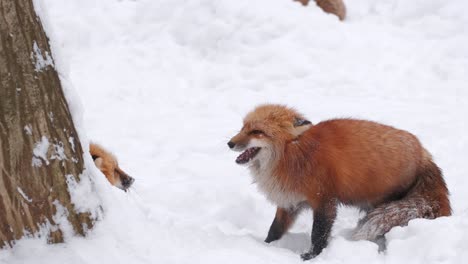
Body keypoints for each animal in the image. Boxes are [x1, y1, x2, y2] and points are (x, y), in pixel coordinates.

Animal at [229, 103, 452, 260]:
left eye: (257, 132)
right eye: (243, 127)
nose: (229, 143)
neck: (293, 153)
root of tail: (423, 153)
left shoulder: (324, 200)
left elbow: (318, 235)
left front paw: (311, 257)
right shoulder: (289, 202)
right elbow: (274, 230)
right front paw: (265, 247)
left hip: (384, 203)